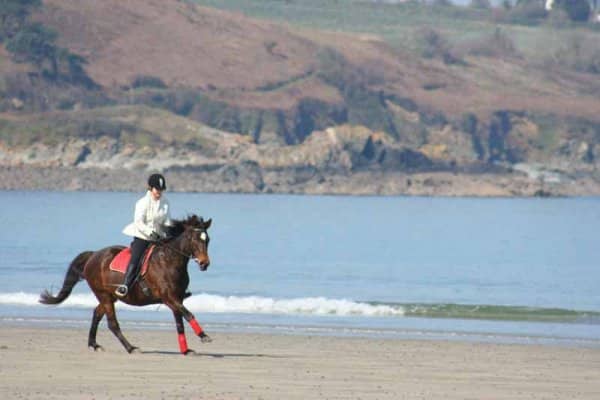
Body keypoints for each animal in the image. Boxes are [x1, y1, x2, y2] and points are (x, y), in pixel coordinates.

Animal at [40, 214, 213, 354]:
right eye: (194, 239)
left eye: (208, 240)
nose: (205, 264)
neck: (169, 260)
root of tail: (93, 255)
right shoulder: (169, 298)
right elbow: (188, 314)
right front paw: (204, 336)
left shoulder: (177, 298)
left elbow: (180, 322)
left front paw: (186, 350)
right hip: (104, 295)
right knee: (112, 324)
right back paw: (130, 347)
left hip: (109, 296)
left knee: (97, 313)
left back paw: (94, 345)